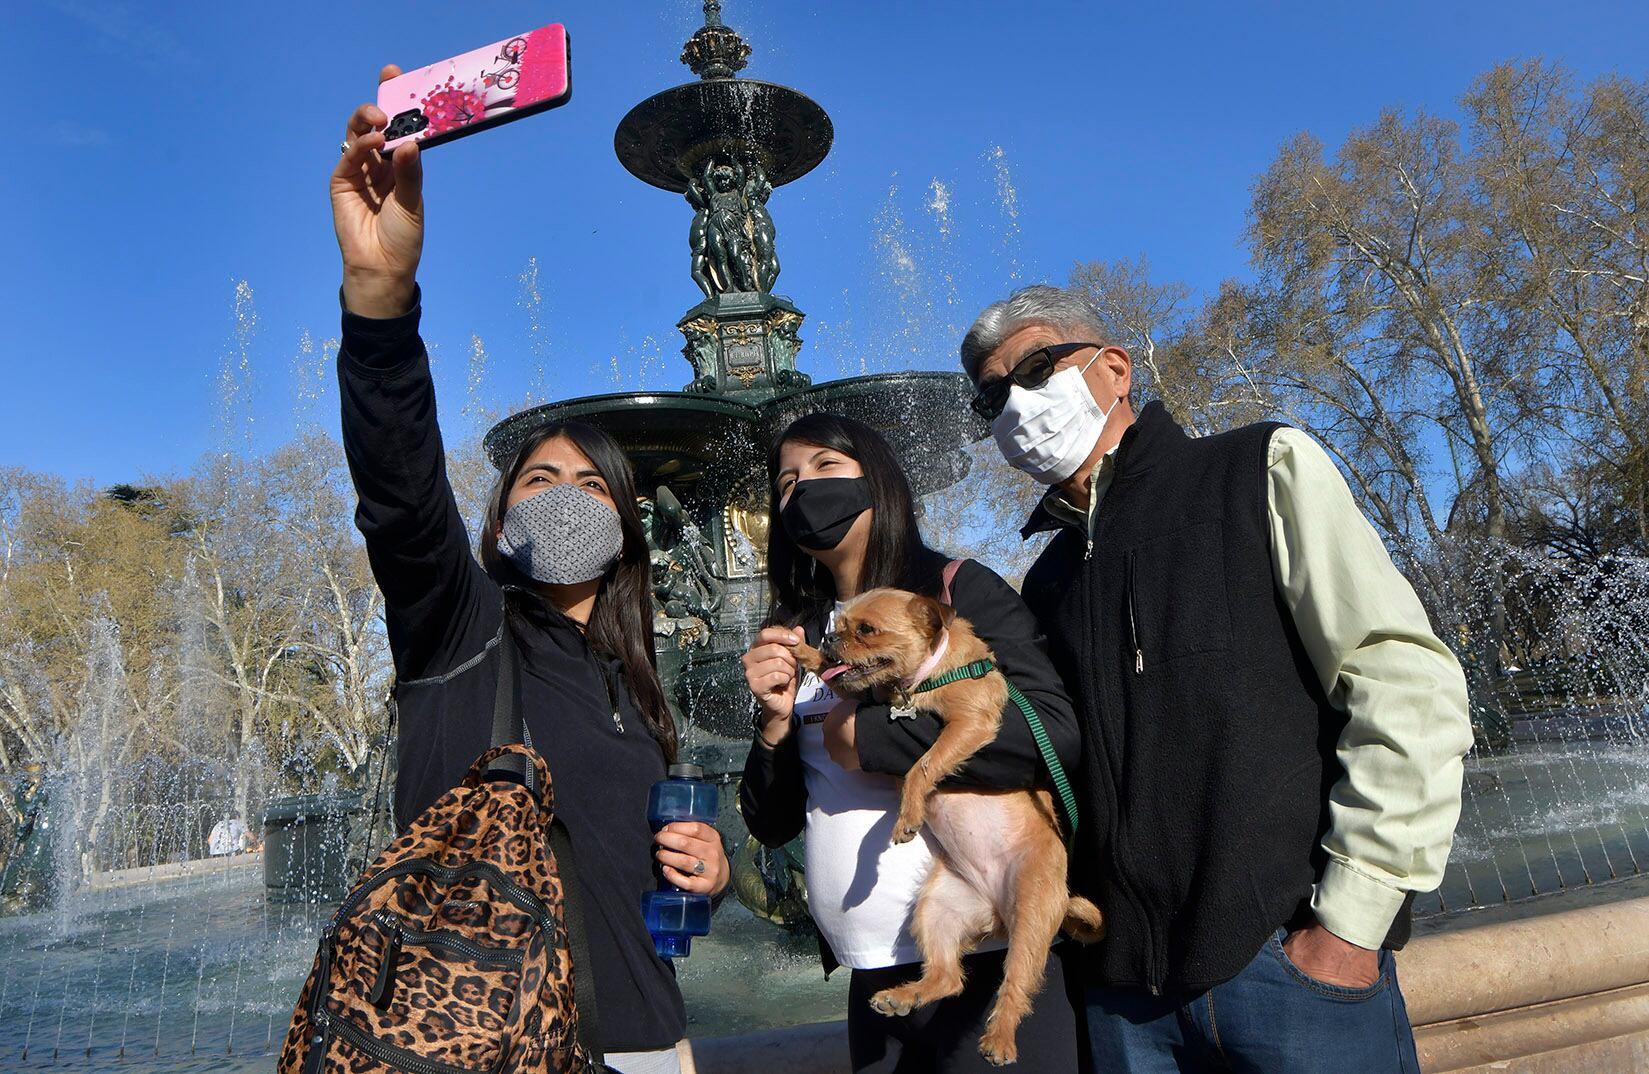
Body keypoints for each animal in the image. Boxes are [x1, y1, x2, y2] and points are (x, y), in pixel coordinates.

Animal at [791, 587, 1101, 1069]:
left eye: (866, 629)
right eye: (836, 627)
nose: (827, 639)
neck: (923, 677)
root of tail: (997, 914)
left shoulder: (969, 723)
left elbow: (922, 765)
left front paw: (907, 815)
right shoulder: (877, 692)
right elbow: (845, 681)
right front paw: (806, 654)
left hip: (1031, 917)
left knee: (1015, 983)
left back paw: (1000, 1040)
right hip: (936, 911)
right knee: (949, 977)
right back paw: (904, 996)